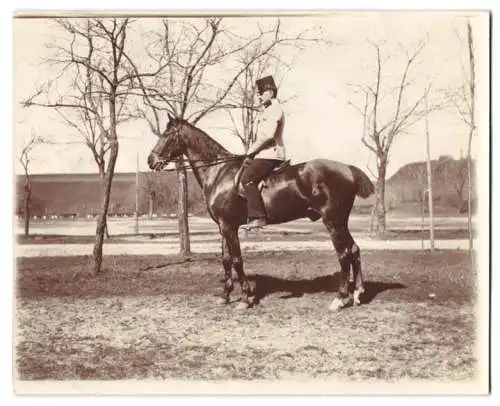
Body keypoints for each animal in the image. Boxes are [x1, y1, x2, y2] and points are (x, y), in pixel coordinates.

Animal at [148, 114, 376, 310]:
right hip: (341, 222)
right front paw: (225, 296)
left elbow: (237, 260)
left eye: (167, 134)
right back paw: (357, 293)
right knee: (354, 249)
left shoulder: (229, 227)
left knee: (344, 254)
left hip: (333, 222)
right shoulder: (223, 227)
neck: (220, 172)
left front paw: (246, 298)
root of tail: (347, 169)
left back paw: (340, 299)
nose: (151, 160)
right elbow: (226, 260)